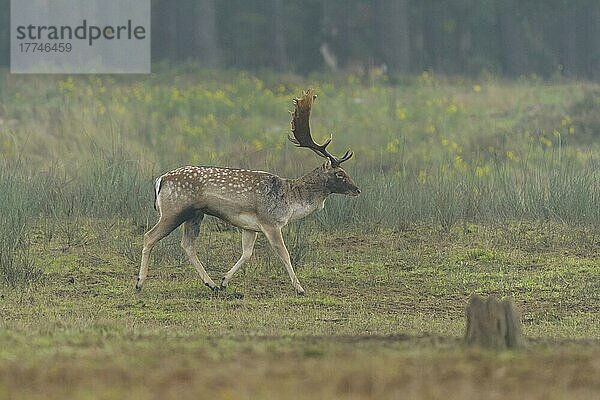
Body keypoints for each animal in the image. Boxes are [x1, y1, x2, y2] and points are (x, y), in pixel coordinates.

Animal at [137, 89, 360, 296]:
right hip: (174, 211)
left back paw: (212, 284)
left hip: (195, 214)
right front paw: (300, 288)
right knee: (149, 236)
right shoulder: (271, 222)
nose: (357, 190)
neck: (291, 201)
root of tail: (160, 180)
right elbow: (284, 253)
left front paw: (225, 281)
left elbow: (247, 253)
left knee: (187, 245)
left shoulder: (250, 227)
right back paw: (139, 283)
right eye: (340, 174)